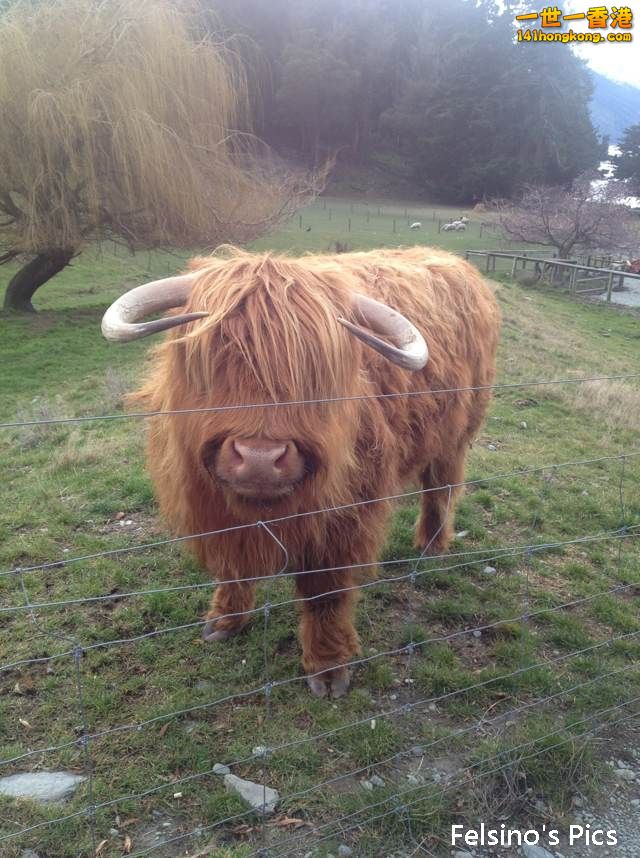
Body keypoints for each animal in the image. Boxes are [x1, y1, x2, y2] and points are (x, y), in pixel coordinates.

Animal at [102, 246, 500, 698]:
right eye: (212, 356)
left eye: (315, 374)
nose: (259, 457)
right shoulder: (214, 512)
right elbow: (233, 568)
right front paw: (225, 619)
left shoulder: (343, 520)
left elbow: (324, 592)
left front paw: (327, 667)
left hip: (455, 436)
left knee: (441, 489)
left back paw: (431, 545)